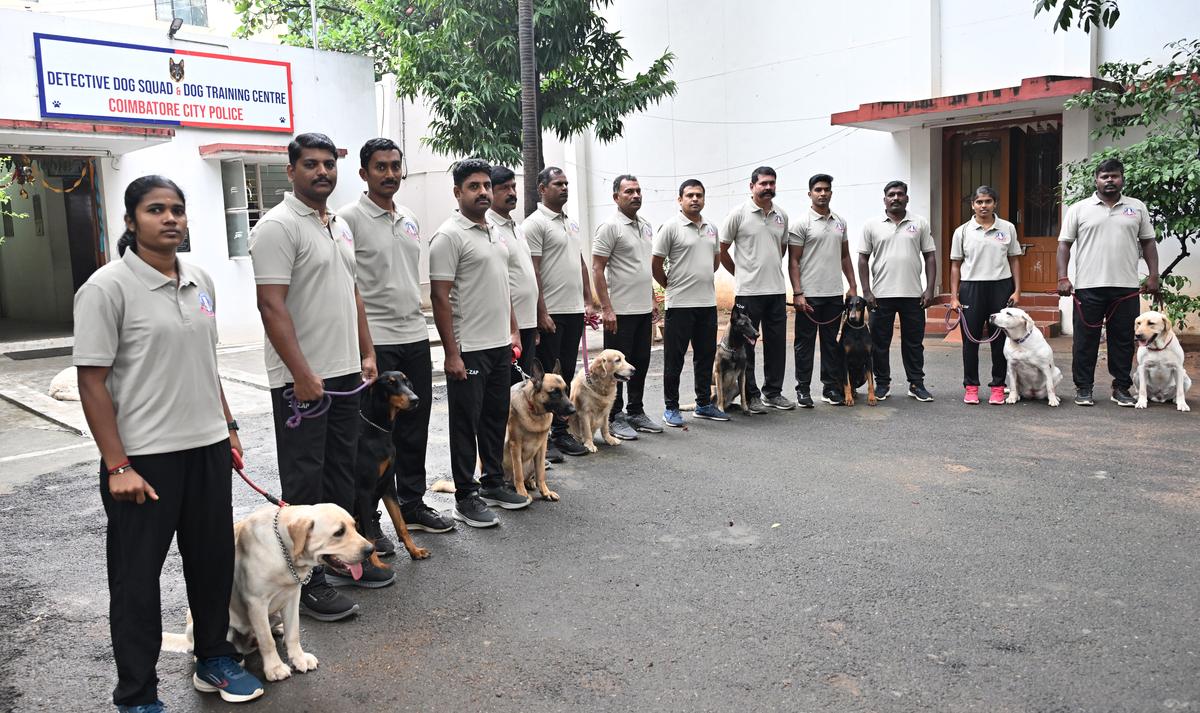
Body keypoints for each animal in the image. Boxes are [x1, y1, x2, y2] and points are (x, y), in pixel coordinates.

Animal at [162, 501, 372, 681]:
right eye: (339, 532)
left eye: (354, 525)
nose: (370, 549)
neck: (283, 550)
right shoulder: (256, 603)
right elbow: (267, 641)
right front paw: (275, 668)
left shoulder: (292, 597)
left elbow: (294, 632)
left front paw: (299, 658)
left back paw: (278, 629)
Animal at [350, 369, 432, 564]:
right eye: (390, 383)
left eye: (406, 381)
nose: (415, 399)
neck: (379, 431)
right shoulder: (364, 490)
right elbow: (370, 536)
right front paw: (377, 566)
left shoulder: (388, 485)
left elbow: (401, 523)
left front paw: (415, 550)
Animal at [496, 357, 571, 496]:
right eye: (554, 393)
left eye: (566, 390)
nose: (573, 410)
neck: (535, 413)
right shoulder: (515, 445)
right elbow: (518, 473)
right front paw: (522, 493)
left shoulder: (542, 447)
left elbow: (541, 473)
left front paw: (546, 492)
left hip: (532, 462)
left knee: (531, 474)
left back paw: (530, 482)